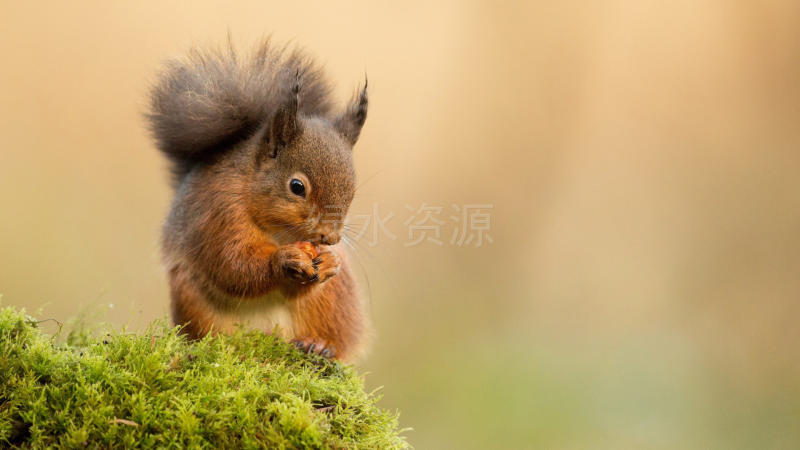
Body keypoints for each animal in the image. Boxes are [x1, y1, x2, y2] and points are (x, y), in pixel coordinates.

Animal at [146, 41, 368, 362]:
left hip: (334, 304)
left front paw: (330, 262)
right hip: (192, 300)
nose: (330, 237)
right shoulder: (219, 215)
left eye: (352, 190)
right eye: (297, 186)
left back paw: (318, 344)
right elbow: (233, 265)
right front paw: (283, 260)